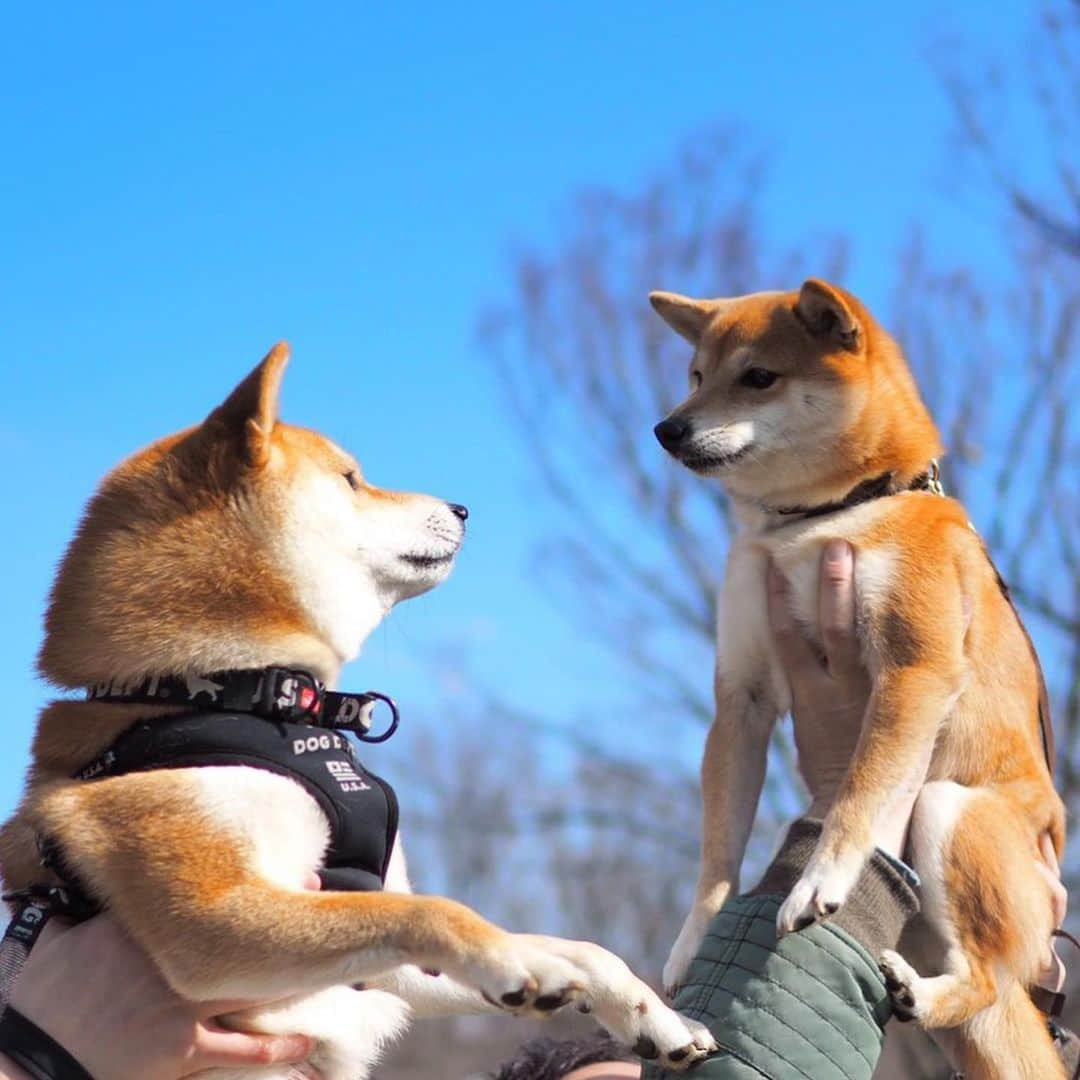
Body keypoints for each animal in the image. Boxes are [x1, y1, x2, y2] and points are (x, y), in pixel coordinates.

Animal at [2, 345, 717, 1080]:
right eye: (351, 479)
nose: (463, 507)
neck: (221, 690)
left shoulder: (371, 949)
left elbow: (580, 948)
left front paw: (653, 1015)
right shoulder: (208, 910)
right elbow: (439, 911)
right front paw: (515, 959)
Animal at [648, 280, 1062, 1080]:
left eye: (758, 377)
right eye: (695, 375)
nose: (667, 429)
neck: (829, 514)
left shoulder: (914, 670)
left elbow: (858, 795)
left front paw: (819, 879)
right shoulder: (741, 700)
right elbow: (718, 851)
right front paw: (693, 939)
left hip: (948, 807)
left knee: (987, 979)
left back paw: (926, 993)